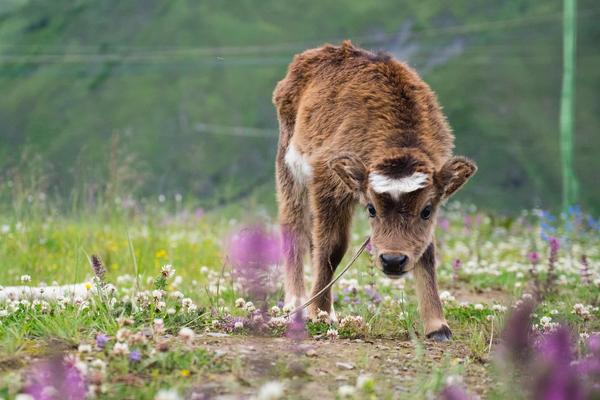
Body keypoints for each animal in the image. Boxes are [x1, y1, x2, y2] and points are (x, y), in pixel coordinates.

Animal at [274, 41, 476, 340]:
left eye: (426, 211)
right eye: (371, 208)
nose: (392, 260)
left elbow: (427, 253)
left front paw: (437, 325)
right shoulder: (326, 182)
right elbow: (332, 247)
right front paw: (320, 313)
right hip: (289, 170)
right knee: (294, 227)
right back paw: (297, 301)